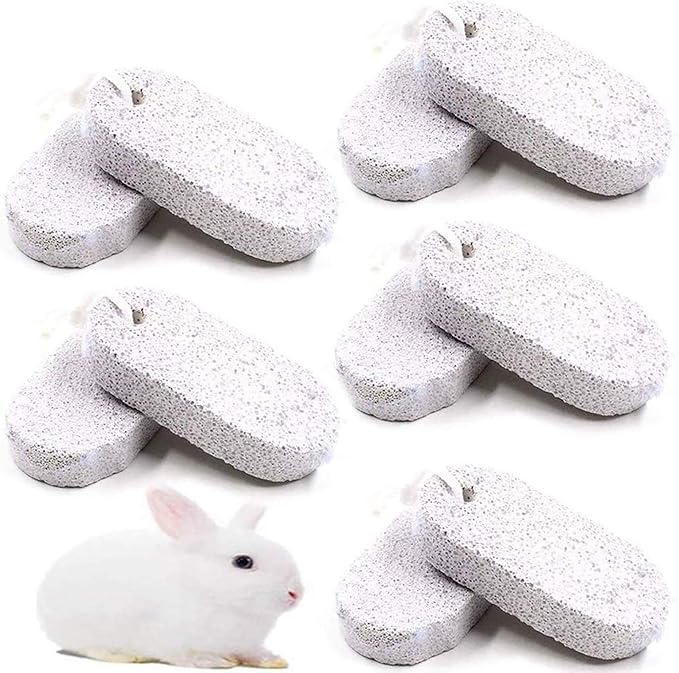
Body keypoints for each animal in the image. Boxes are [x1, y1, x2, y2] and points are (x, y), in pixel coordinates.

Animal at [37, 487, 303, 668]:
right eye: (243, 562)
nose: (295, 593)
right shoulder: (165, 636)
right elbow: (183, 655)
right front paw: (212, 660)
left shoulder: (246, 643)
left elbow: (252, 652)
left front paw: (273, 660)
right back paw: (124, 656)